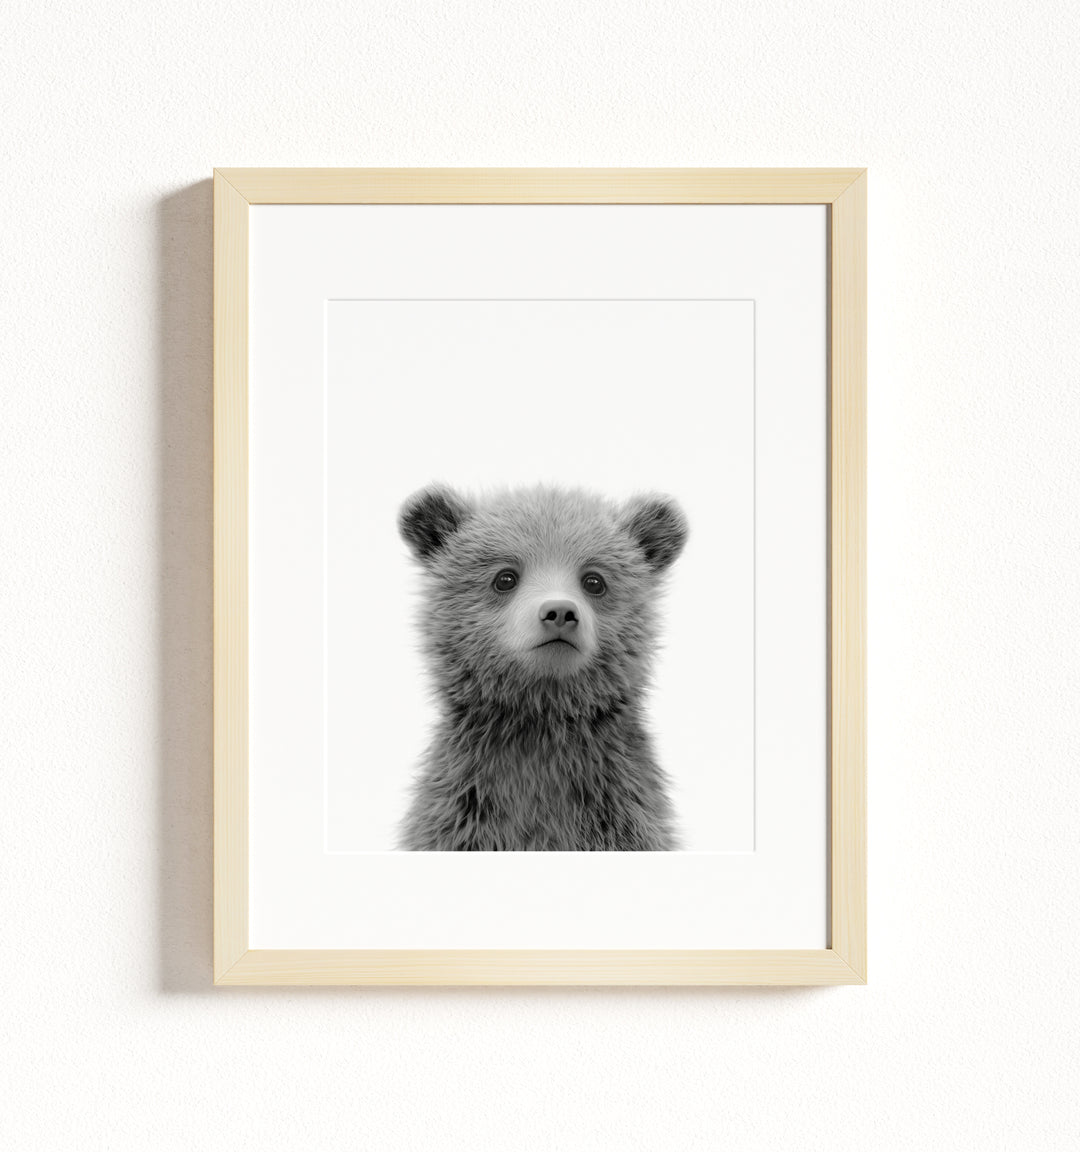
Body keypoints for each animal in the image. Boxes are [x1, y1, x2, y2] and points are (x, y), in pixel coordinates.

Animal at [397, 483, 688, 851]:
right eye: (505, 578)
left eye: (594, 581)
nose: (560, 612)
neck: (539, 721)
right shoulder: (464, 811)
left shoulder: (620, 811)